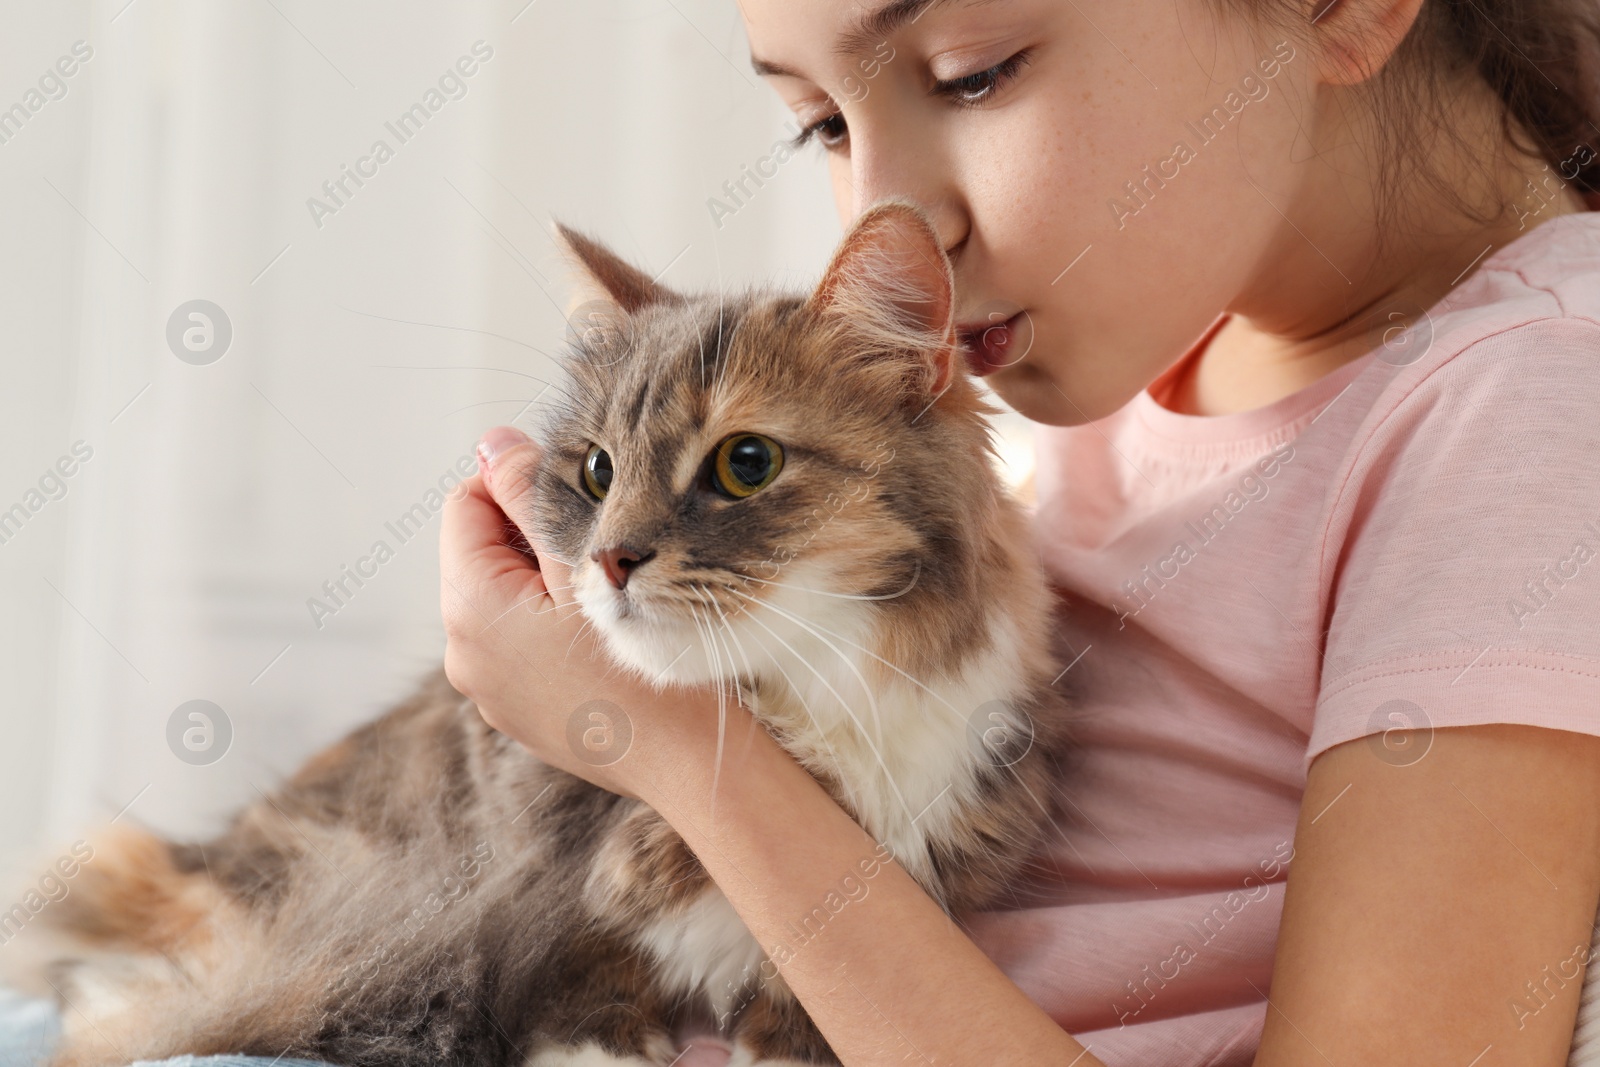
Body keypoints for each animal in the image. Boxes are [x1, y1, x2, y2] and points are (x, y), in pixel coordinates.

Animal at [3, 199, 1075, 1067]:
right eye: (597, 472)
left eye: (747, 463)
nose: (611, 559)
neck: (795, 713)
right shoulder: (534, 918)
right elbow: (584, 1006)